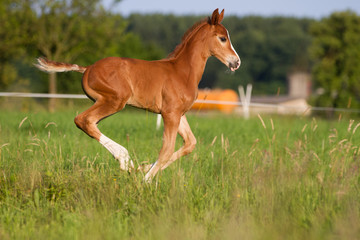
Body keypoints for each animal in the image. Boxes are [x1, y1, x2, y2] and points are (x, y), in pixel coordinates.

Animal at [35, 8, 239, 182]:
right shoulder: (170, 114)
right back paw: (125, 159)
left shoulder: (179, 114)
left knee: (89, 123)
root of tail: (88, 68)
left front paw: (143, 168)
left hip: (105, 101)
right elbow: (166, 150)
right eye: (222, 38)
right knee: (83, 120)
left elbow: (190, 144)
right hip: (115, 100)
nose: (236, 62)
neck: (182, 71)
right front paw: (144, 182)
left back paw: (128, 162)